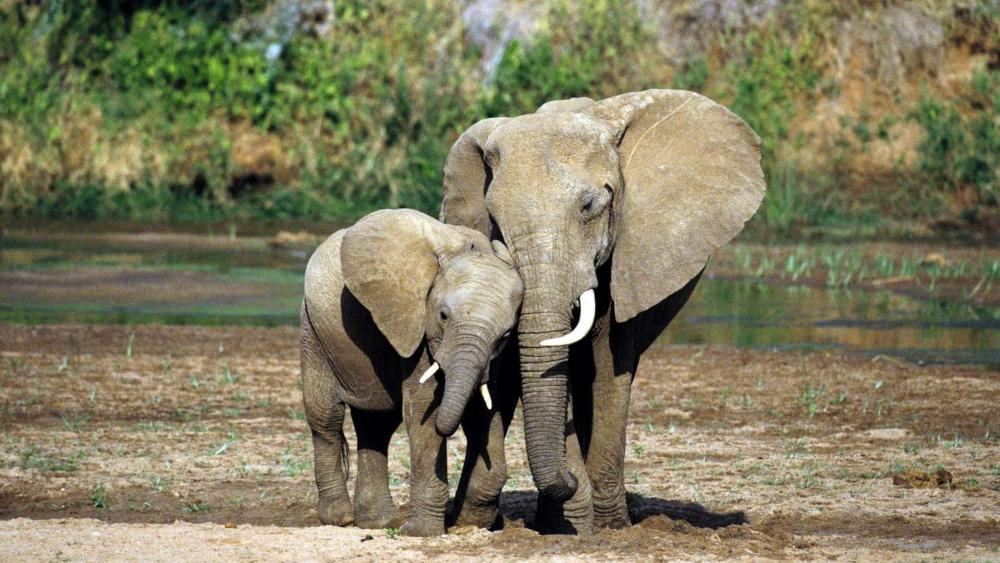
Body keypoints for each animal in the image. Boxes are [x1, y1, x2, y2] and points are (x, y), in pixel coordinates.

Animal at [299, 209, 523, 536]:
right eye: (443, 316)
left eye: (506, 335)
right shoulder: (415, 327)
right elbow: (423, 411)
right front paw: (422, 533)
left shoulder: (492, 359)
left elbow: (483, 410)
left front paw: (472, 523)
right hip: (314, 331)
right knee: (326, 418)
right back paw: (341, 519)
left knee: (376, 425)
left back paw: (378, 523)